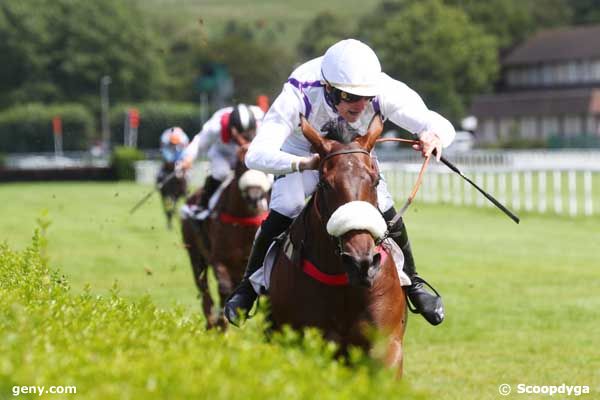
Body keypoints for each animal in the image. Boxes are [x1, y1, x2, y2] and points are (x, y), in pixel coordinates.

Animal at [180, 147, 270, 328]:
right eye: (241, 164)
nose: (255, 197)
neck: (242, 220)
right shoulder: (218, 259)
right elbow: (224, 288)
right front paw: (220, 320)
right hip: (195, 255)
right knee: (203, 288)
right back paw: (211, 321)